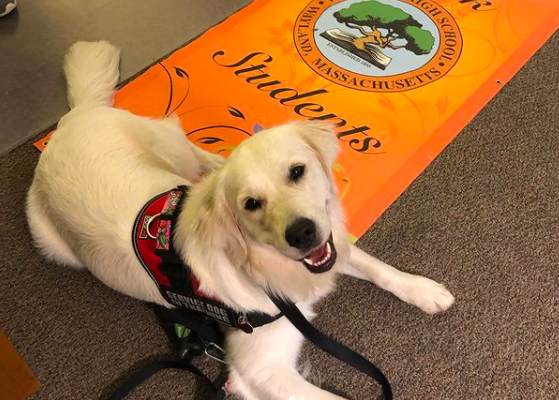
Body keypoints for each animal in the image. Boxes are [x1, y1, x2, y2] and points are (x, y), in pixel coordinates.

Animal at [27, 41, 456, 400]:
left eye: (297, 171)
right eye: (251, 204)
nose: (302, 233)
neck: (269, 267)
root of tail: (75, 116)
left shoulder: (330, 245)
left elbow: (378, 267)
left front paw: (424, 290)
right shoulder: (260, 369)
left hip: (168, 147)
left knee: (198, 158)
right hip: (53, 242)